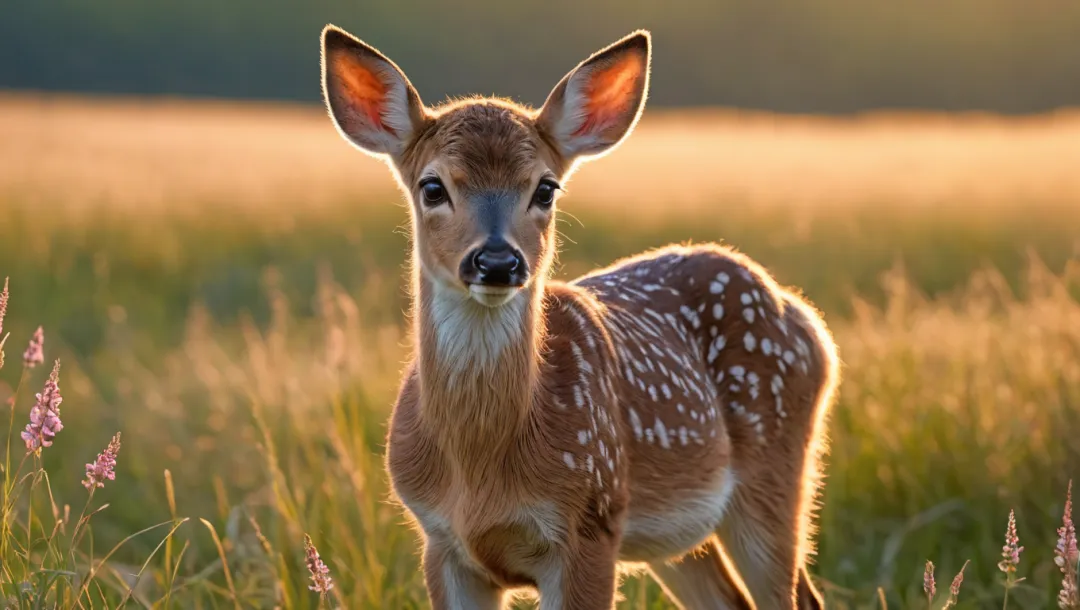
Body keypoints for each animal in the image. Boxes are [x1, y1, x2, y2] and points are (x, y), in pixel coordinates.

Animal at [319, 23, 842, 608]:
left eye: (546, 188)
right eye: (433, 187)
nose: (497, 261)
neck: (480, 470)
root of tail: (804, 316)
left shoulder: (590, 522)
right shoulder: (440, 540)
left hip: (775, 471)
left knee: (796, 594)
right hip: (683, 534)